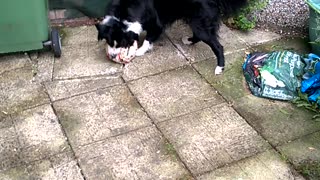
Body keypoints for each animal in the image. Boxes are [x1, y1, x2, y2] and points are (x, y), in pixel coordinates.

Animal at [95, 0, 248, 74]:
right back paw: (188, 40)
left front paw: (139, 51)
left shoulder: (155, 23)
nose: (113, 57)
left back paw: (219, 68)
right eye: (109, 42)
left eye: (122, 43)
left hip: (200, 20)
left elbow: (149, 37)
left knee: (217, 45)